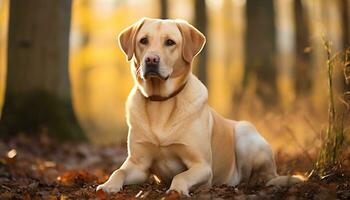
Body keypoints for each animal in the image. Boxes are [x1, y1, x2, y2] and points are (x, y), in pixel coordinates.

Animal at [97, 18, 302, 196]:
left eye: (170, 42)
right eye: (143, 41)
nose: (151, 60)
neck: (161, 101)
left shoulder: (202, 165)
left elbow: (181, 176)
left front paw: (177, 190)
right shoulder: (138, 164)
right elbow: (118, 171)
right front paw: (107, 186)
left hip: (245, 134)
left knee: (264, 177)